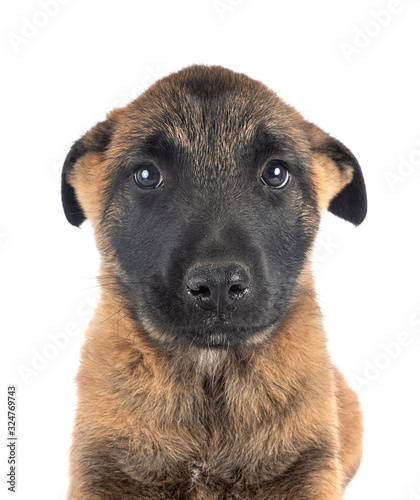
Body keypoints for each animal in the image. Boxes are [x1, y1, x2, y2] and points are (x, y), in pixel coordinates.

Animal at [60, 64, 366, 498]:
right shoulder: (101, 469)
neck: (211, 381)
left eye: (276, 173)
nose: (219, 284)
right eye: (146, 174)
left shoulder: (311, 466)